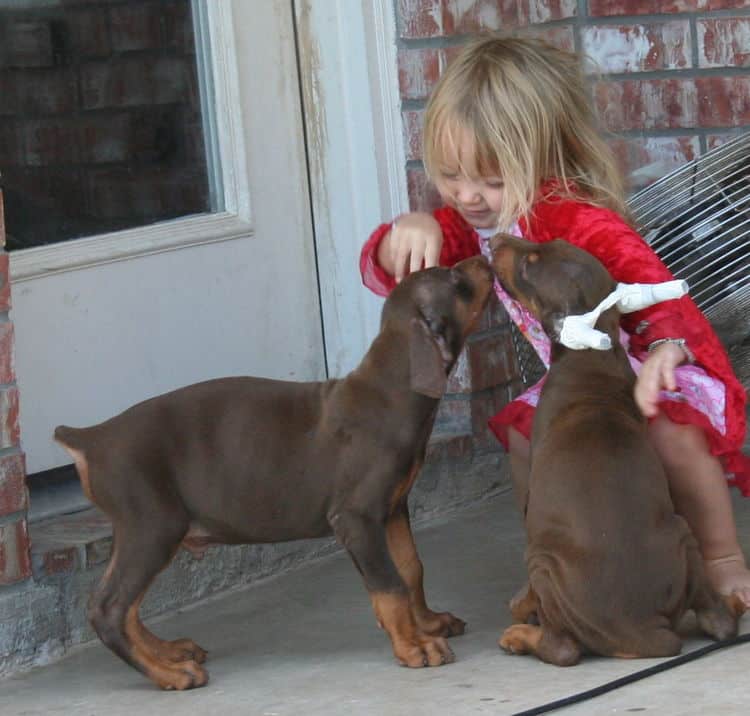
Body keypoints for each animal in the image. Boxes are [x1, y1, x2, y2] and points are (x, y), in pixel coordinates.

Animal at [55, 256, 496, 688]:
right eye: (455, 279)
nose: (484, 258)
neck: (391, 392)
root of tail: (92, 438)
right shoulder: (356, 517)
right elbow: (389, 585)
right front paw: (413, 646)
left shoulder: (392, 508)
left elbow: (409, 569)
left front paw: (428, 624)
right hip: (153, 526)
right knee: (110, 608)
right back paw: (169, 673)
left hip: (142, 532)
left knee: (124, 608)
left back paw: (168, 653)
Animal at [490, 235, 744, 664]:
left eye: (529, 264)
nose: (494, 240)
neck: (592, 358)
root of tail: (641, 630)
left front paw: (520, 608)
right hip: (683, 536)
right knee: (718, 621)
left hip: (544, 561)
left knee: (562, 649)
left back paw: (519, 636)